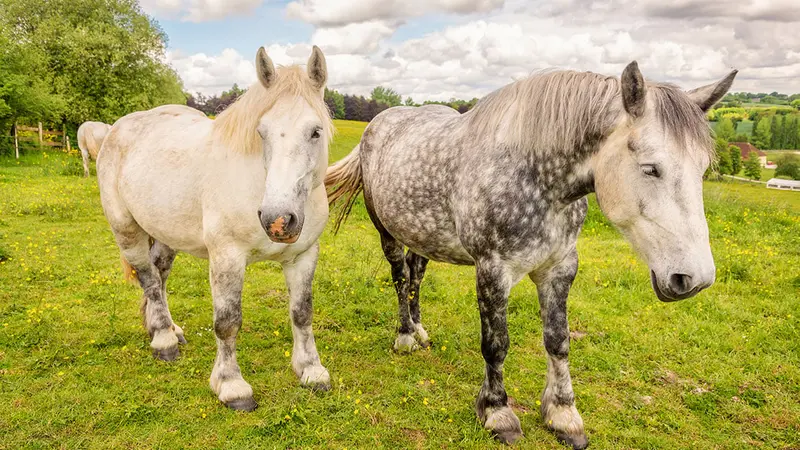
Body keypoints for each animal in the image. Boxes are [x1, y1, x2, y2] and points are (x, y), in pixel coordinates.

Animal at [97, 46, 334, 411]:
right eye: (261, 132)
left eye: (315, 131)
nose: (278, 220)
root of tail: (118, 127)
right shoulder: (226, 257)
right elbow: (227, 323)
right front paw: (232, 386)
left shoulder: (303, 255)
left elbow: (302, 313)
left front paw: (311, 370)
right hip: (126, 229)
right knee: (148, 279)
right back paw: (164, 341)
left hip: (166, 234)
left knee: (159, 275)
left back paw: (167, 329)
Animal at [326, 61, 737, 447]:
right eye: (651, 168)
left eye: (702, 168)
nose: (694, 279)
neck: (537, 176)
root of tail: (379, 123)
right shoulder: (493, 270)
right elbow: (496, 344)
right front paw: (497, 413)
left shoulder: (560, 268)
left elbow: (559, 340)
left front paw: (563, 415)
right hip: (388, 232)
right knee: (399, 276)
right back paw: (405, 336)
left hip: (422, 234)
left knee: (416, 273)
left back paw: (420, 328)